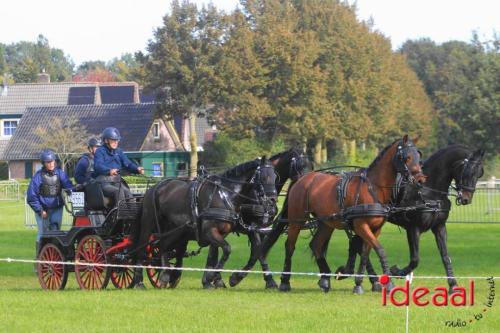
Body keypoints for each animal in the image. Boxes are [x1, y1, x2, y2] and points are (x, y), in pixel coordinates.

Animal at [129, 156, 278, 288]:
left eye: (276, 177)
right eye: (264, 177)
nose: (272, 201)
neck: (224, 195)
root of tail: (153, 188)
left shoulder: (222, 232)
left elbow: (214, 255)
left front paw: (210, 280)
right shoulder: (210, 231)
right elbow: (227, 249)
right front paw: (214, 277)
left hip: (175, 230)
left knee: (164, 246)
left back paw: (165, 276)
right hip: (149, 224)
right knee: (142, 249)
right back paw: (139, 282)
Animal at [228, 147, 312, 286]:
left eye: (311, 166)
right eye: (298, 166)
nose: (307, 184)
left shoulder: (261, 228)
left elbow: (259, 251)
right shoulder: (252, 226)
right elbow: (259, 252)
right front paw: (269, 280)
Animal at [278, 135, 422, 290]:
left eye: (418, 156)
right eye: (406, 157)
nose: (420, 180)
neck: (373, 188)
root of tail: (302, 179)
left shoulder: (376, 228)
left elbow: (365, 253)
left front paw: (359, 283)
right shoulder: (361, 226)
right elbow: (380, 250)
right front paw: (388, 283)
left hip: (326, 222)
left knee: (316, 245)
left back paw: (325, 280)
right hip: (297, 219)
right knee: (290, 246)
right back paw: (285, 281)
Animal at [336, 145, 484, 294]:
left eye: (479, 173)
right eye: (467, 171)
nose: (466, 199)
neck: (427, 191)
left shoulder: (439, 227)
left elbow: (445, 257)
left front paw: (453, 285)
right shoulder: (413, 228)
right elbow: (415, 259)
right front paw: (396, 271)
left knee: (357, 244)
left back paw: (359, 276)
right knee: (359, 245)